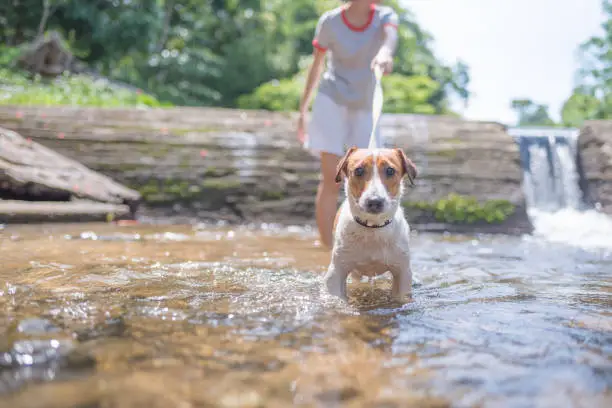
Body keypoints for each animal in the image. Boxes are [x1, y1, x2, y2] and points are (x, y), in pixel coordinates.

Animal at [322, 145, 418, 302]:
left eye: (390, 170)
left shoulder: (402, 272)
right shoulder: (336, 272)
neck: (373, 228)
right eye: (358, 170)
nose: (374, 201)